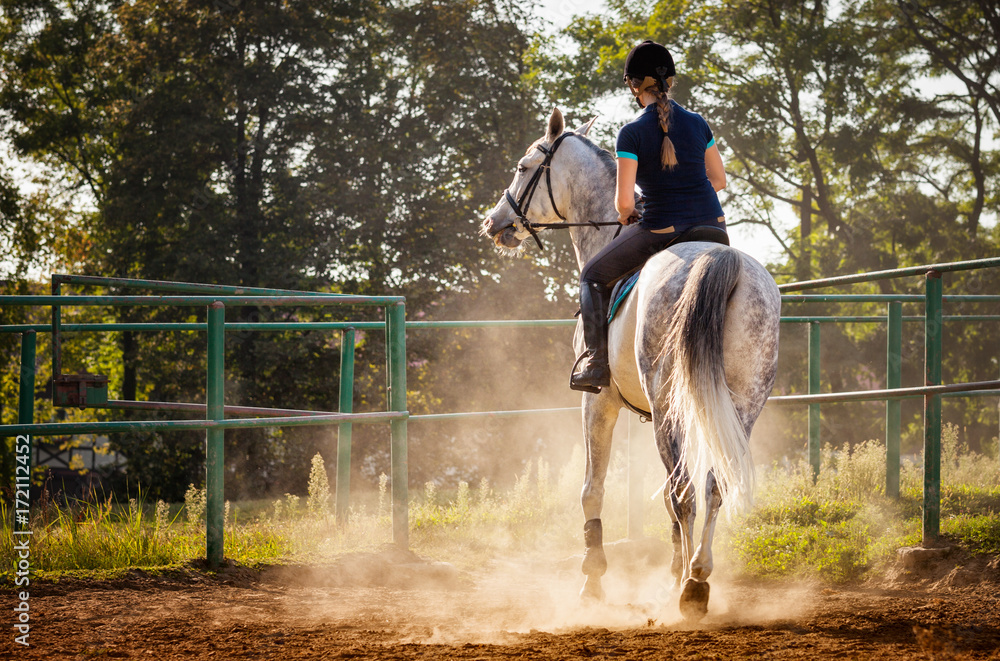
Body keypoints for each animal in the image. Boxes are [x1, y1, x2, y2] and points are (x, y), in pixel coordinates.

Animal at [482, 108, 780, 620]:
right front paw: (670, 570)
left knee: (684, 492)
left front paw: (593, 580)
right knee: (709, 486)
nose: (494, 221)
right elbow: (666, 498)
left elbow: (592, 489)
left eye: (523, 167)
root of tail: (719, 260)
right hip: (739, 404)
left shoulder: (598, 402)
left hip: (666, 407)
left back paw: (691, 591)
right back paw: (696, 575)